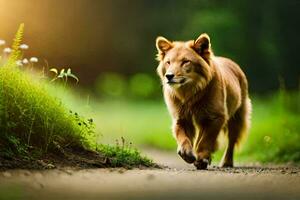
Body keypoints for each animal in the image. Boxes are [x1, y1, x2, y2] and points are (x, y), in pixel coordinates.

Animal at [155, 33, 251, 170]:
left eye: (186, 62)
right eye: (168, 62)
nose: (169, 76)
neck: (189, 93)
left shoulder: (216, 117)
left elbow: (206, 140)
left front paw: (201, 159)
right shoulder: (181, 118)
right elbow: (183, 137)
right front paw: (186, 153)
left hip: (237, 117)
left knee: (231, 142)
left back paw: (226, 162)